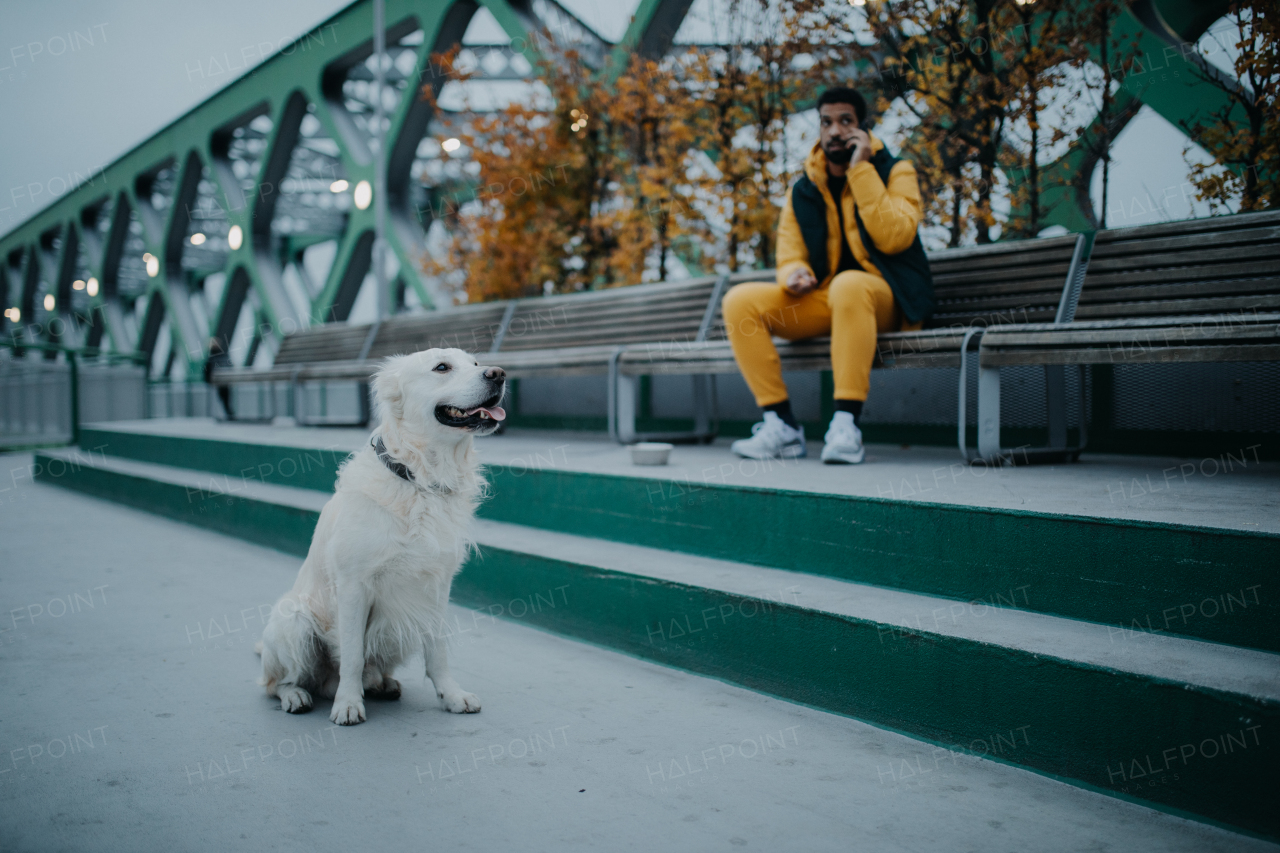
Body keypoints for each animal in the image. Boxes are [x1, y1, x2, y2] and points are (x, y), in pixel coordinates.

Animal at [256, 345, 504, 722]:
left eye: (475, 363)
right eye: (442, 367)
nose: (499, 374)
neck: (418, 477)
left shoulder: (436, 588)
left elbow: (438, 652)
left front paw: (451, 695)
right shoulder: (353, 586)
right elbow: (352, 655)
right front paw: (347, 703)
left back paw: (381, 683)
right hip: (294, 620)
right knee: (275, 682)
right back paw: (297, 695)